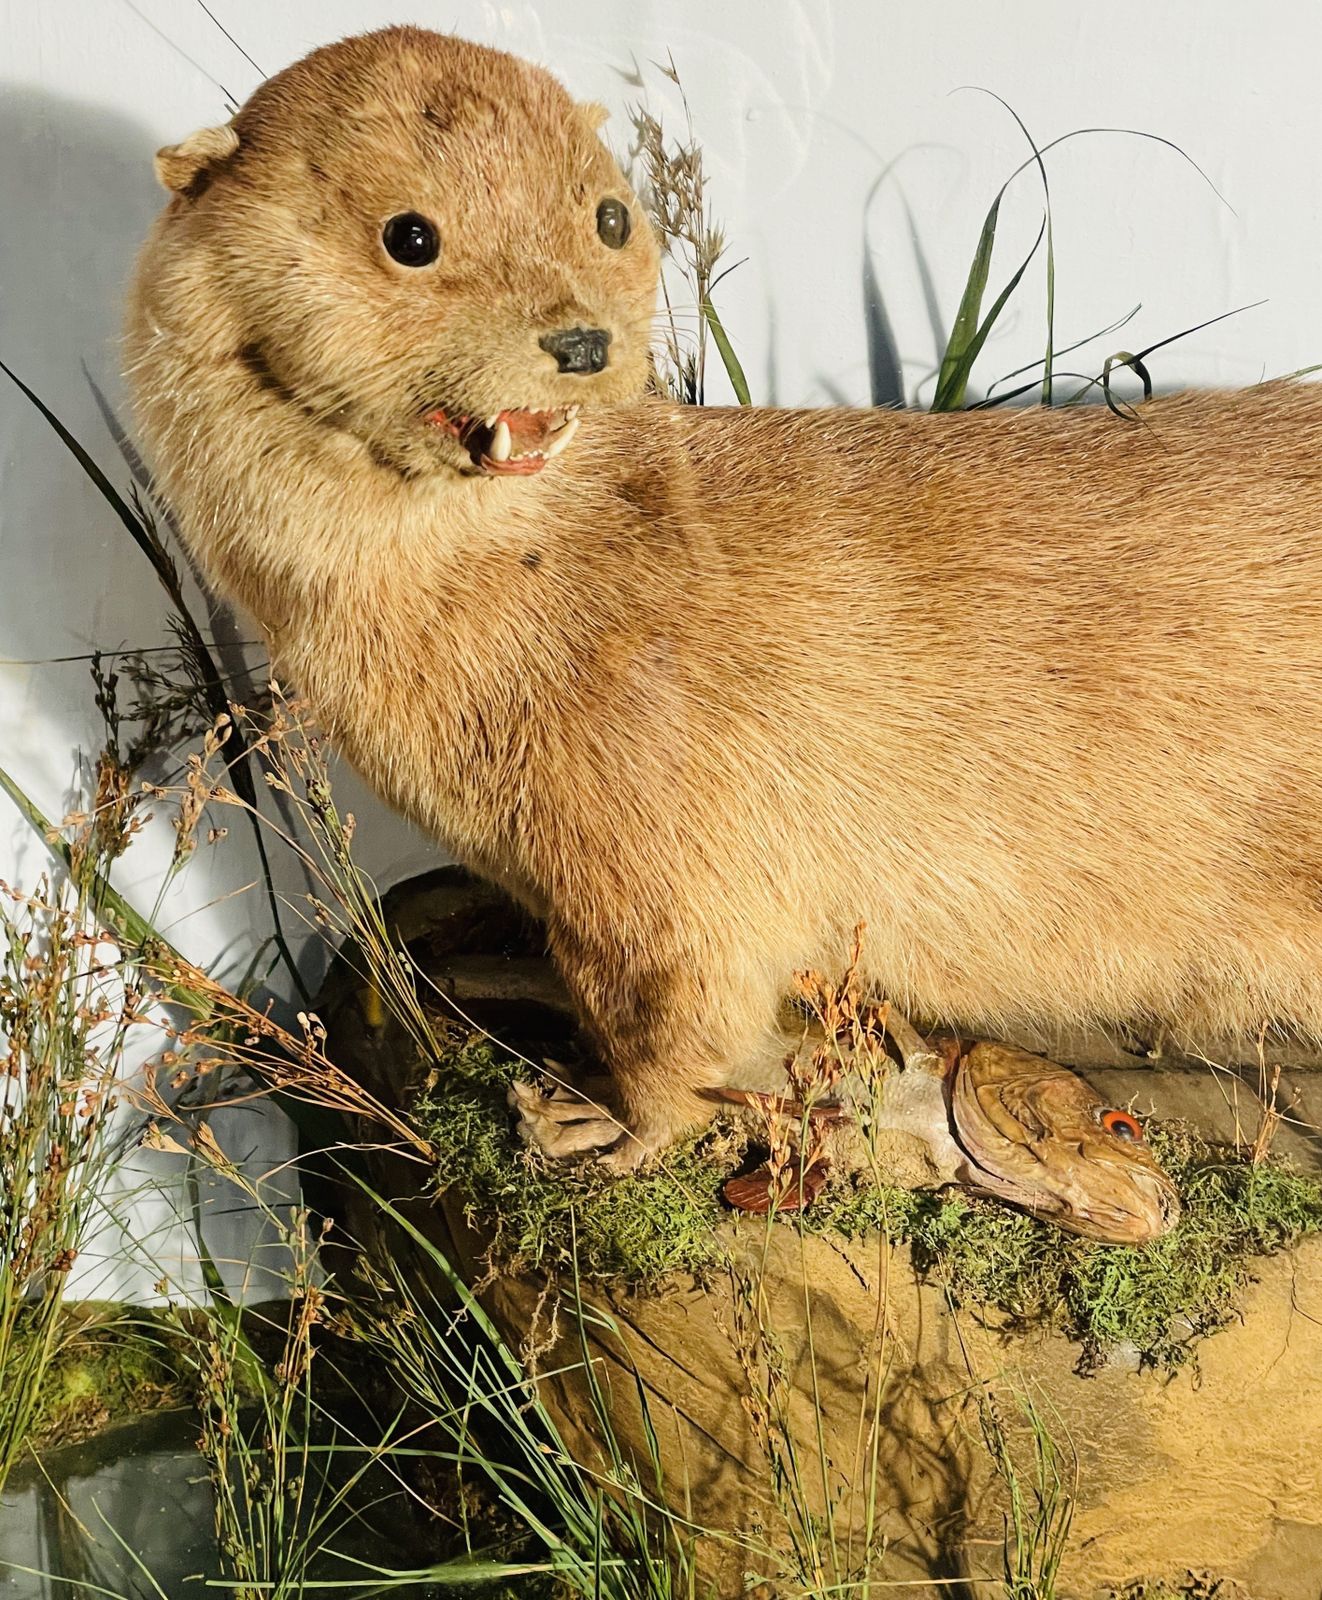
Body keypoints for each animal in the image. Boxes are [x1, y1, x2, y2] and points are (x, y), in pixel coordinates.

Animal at [127, 25, 1322, 1169]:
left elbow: (678, 1026)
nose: (580, 339)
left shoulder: (664, 870)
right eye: (410, 236)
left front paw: (594, 1127)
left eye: (609, 215)